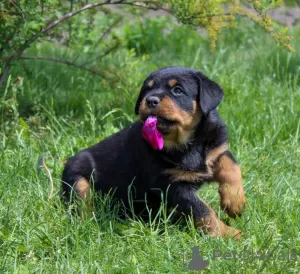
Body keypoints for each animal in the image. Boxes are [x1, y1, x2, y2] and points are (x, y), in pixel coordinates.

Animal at [61, 66, 246, 238]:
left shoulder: (218, 150)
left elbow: (232, 167)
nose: (150, 100)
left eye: (177, 90)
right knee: (82, 204)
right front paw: (229, 234)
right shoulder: (171, 184)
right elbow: (202, 209)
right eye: (146, 90)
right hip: (77, 178)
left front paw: (235, 203)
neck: (186, 143)